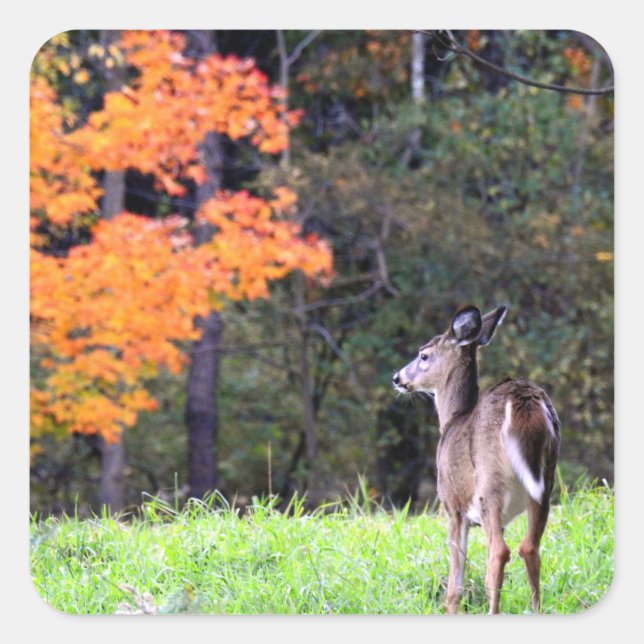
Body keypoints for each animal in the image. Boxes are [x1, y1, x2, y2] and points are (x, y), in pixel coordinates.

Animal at [392, 305, 560, 614]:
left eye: (424, 355)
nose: (397, 378)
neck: (451, 420)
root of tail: (524, 401)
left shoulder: (453, 505)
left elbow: (455, 583)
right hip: (545, 481)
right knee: (529, 548)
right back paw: (536, 610)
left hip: (489, 484)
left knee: (500, 551)